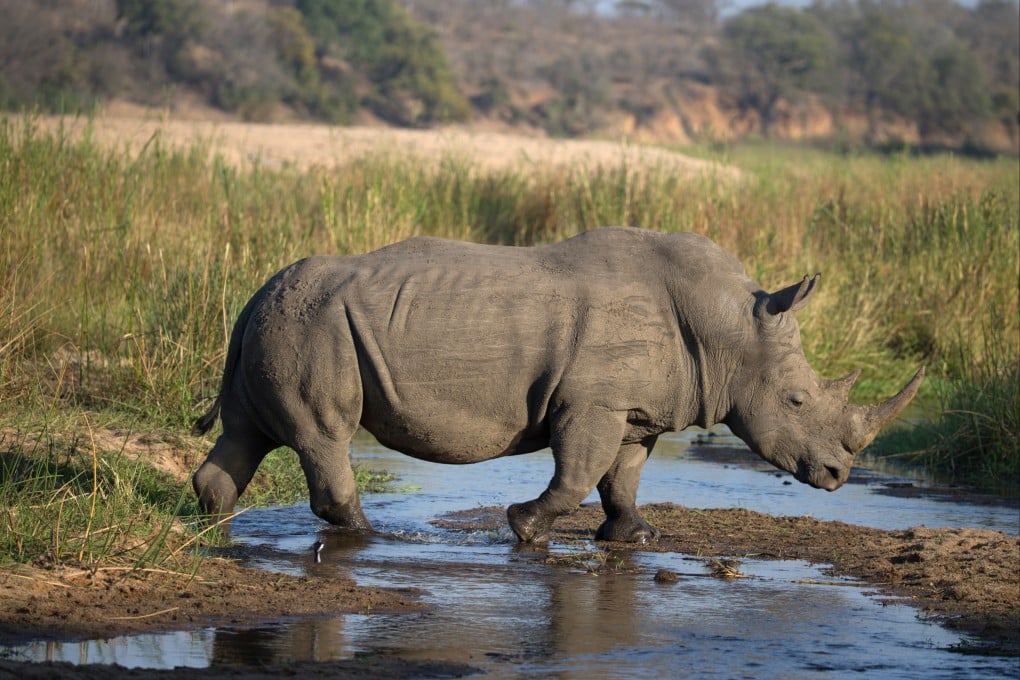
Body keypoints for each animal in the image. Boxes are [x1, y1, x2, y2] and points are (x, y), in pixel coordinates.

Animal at [192, 227, 923, 543]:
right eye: (797, 401)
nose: (838, 476)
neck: (729, 330)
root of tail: (256, 295)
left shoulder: (634, 410)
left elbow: (620, 478)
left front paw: (633, 537)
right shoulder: (592, 401)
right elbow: (577, 474)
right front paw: (524, 528)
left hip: (282, 323)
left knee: (248, 432)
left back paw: (214, 525)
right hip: (313, 326)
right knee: (325, 435)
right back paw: (372, 538)